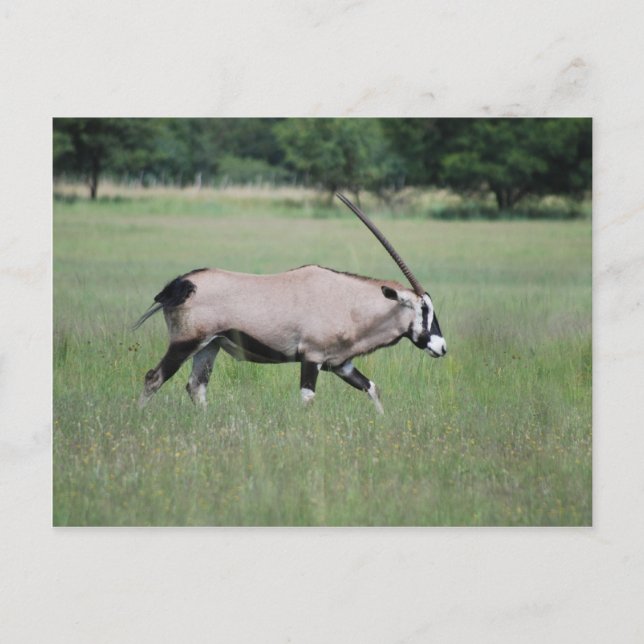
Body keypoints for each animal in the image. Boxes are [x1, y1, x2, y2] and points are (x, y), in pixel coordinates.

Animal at [135, 194, 446, 412]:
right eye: (423, 309)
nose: (441, 347)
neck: (348, 302)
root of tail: (181, 285)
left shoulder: (341, 364)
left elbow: (372, 388)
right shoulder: (312, 357)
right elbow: (307, 400)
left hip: (209, 345)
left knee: (196, 386)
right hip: (184, 343)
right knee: (154, 378)